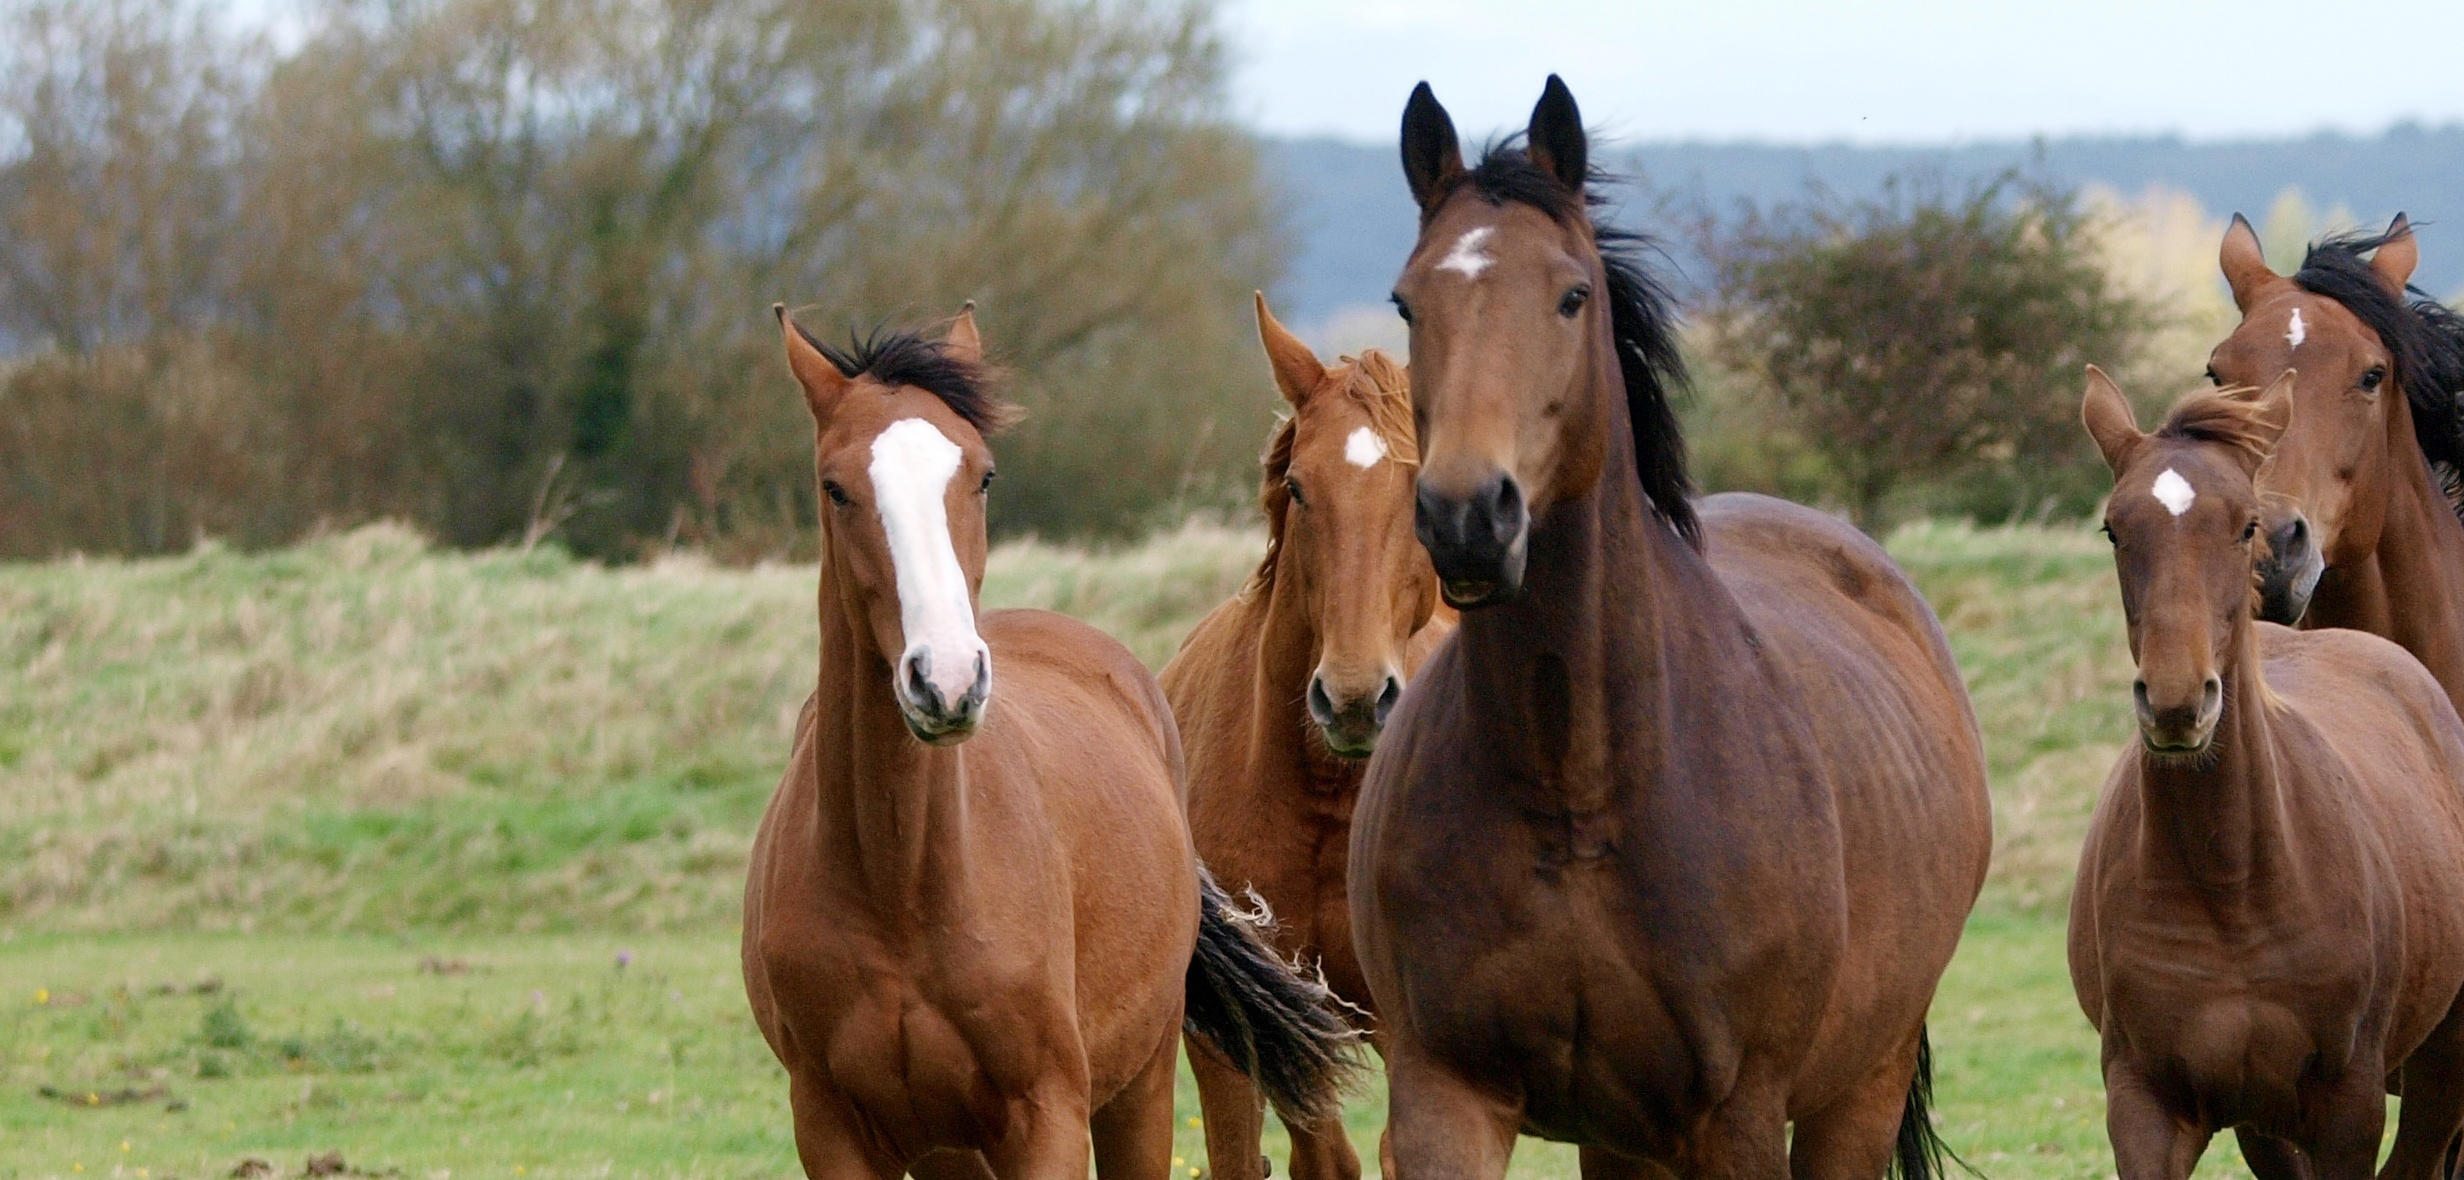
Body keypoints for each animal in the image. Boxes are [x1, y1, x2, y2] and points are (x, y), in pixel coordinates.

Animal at [741, 305, 1360, 1178]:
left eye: (982, 476)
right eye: (836, 488)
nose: (947, 679)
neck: (905, 884)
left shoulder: (1048, 1117)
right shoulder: (831, 1129)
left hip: (1140, 1088)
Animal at [1349, 76, 1993, 1178]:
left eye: (1570, 295)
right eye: (1406, 301)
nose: (1468, 515)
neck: (1577, 784)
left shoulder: (1736, 1113)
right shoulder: (1445, 1094)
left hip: (1856, 1088)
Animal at [2070, 367, 2464, 1180]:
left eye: (2247, 525)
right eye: (2114, 529)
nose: (2177, 703)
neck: (2234, 882)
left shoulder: (2349, 1109)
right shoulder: (2146, 1104)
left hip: (2444, 1065)